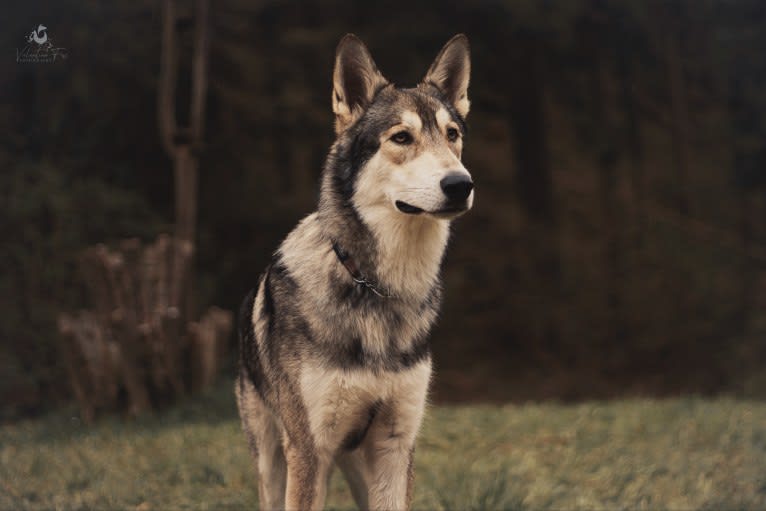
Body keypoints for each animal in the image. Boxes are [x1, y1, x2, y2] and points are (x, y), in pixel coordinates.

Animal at [237, 34, 474, 510]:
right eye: (401, 137)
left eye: (452, 135)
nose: (461, 184)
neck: (377, 287)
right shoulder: (309, 449)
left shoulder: (396, 445)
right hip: (274, 461)